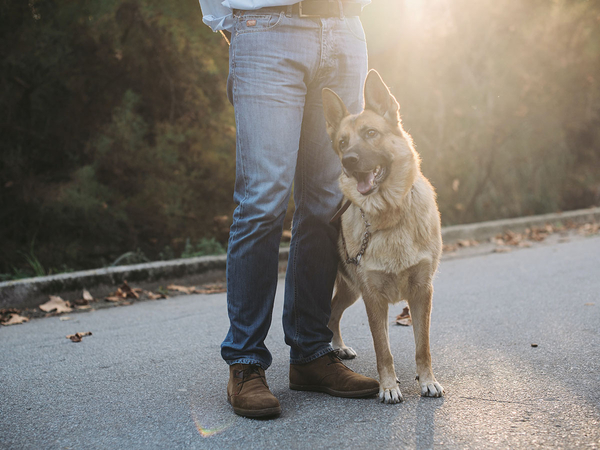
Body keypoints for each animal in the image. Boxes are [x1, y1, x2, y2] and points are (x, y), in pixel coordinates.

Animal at [324, 71, 446, 404]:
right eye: (342, 142)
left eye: (370, 133)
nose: (349, 160)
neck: (390, 215)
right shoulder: (373, 297)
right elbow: (383, 350)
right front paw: (388, 386)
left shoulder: (422, 293)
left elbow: (422, 346)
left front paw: (427, 381)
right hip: (348, 288)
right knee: (328, 314)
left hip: (350, 291)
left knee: (333, 314)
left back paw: (338, 346)